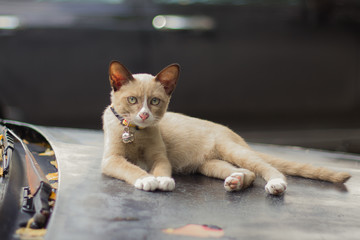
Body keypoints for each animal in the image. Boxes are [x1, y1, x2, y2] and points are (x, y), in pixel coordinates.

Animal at [102, 60, 352, 195]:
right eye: (132, 100)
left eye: (154, 101)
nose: (144, 115)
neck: (134, 131)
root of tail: (234, 135)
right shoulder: (111, 159)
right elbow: (130, 168)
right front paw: (146, 179)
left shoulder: (159, 157)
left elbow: (161, 168)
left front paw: (162, 180)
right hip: (210, 165)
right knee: (248, 172)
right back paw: (235, 181)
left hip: (232, 151)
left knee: (266, 168)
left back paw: (276, 185)